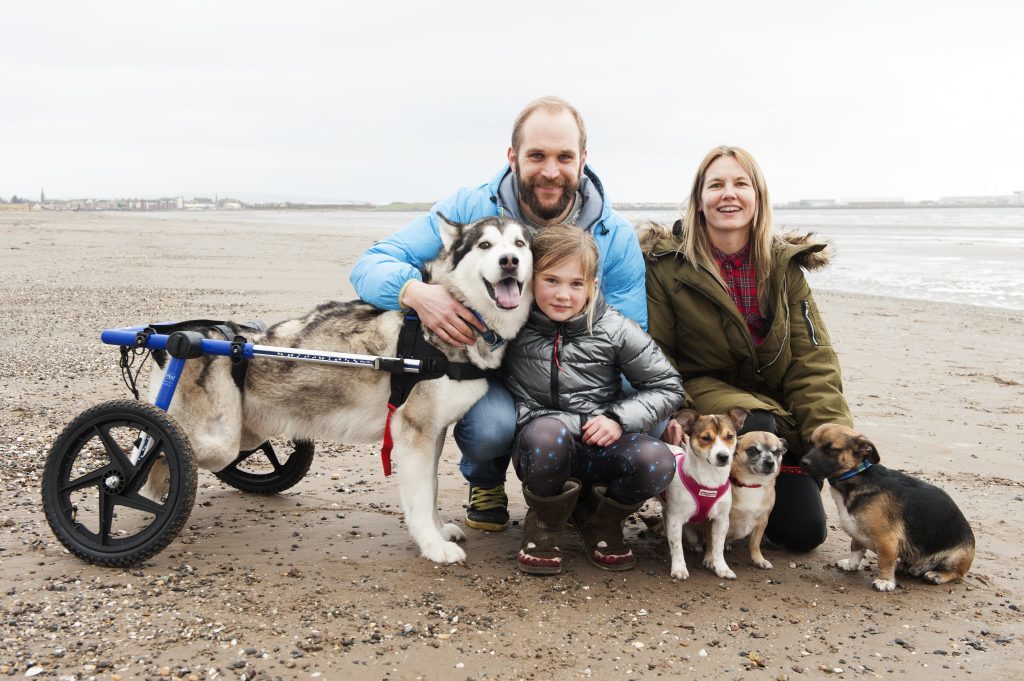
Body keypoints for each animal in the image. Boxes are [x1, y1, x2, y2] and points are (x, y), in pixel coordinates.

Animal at [153, 216, 536, 561]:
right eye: (485, 245)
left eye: (519, 244)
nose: (509, 261)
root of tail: (184, 337)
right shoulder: (414, 436)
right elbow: (420, 499)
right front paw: (433, 546)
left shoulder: (433, 434)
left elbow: (432, 490)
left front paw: (439, 531)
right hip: (214, 441)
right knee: (155, 450)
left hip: (243, 436)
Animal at [724, 430, 786, 569]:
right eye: (752, 450)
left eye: (777, 451)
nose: (770, 462)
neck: (753, 484)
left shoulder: (762, 521)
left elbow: (755, 543)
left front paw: (758, 559)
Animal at [798, 426, 974, 589]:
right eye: (810, 444)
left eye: (830, 448)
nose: (802, 463)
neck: (855, 478)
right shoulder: (857, 532)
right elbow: (856, 548)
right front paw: (851, 564)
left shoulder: (886, 539)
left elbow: (885, 560)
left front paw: (884, 581)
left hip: (953, 558)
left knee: (958, 573)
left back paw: (937, 575)